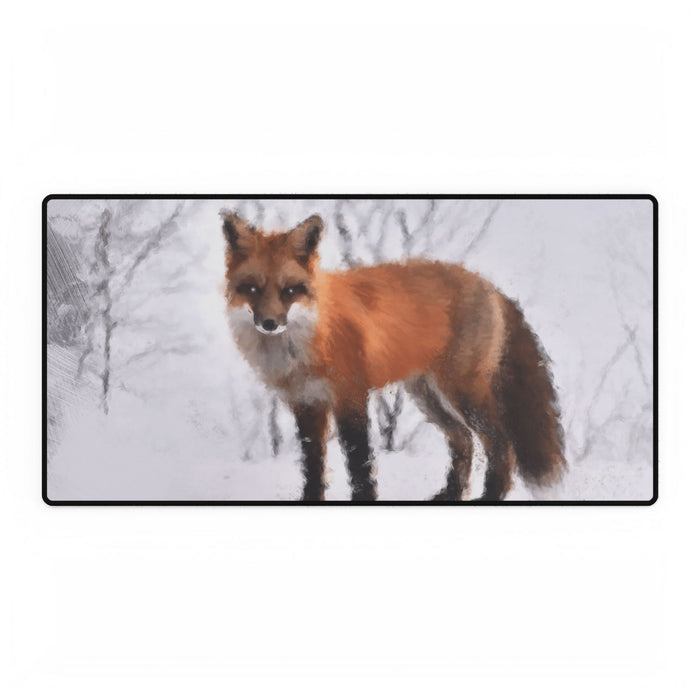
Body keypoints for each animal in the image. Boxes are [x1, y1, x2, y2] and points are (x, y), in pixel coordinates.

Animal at [221, 210, 566, 501]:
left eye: (289, 291)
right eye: (252, 289)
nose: (269, 324)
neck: (305, 342)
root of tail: (488, 284)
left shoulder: (350, 396)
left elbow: (359, 463)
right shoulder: (307, 404)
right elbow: (313, 468)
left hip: (463, 394)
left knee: (501, 445)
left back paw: (489, 497)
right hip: (429, 397)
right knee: (463, 441)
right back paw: (451, 494)